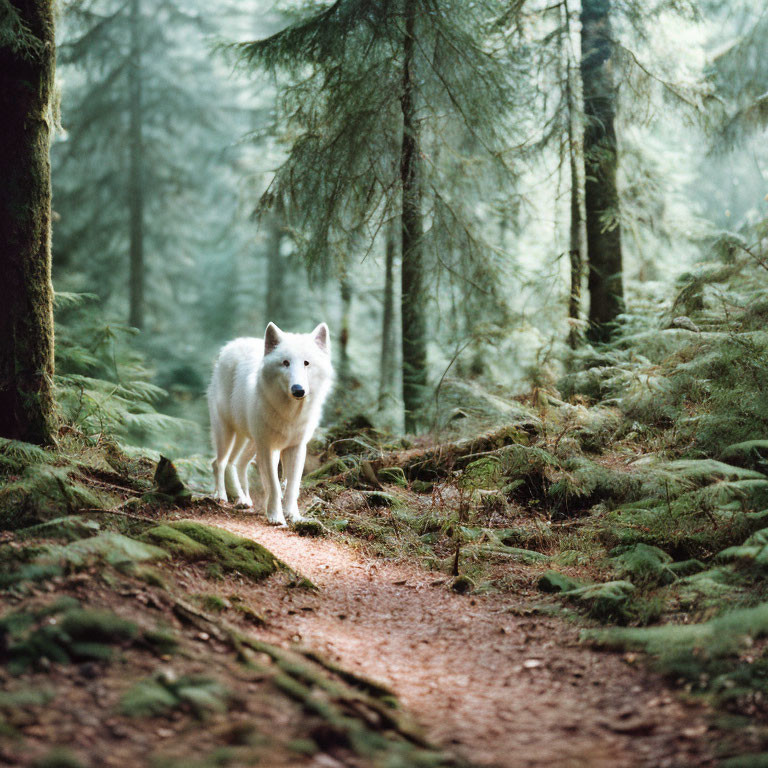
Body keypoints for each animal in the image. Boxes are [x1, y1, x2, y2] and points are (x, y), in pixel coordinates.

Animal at [208, 320, 332, 524]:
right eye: (285, 363)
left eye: (306, 363)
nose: (298, 390)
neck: (289, 414)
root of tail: (232, 344)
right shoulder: (267, 448)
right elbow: (273, 485)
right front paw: (275, 516)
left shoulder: (296, 448)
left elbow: (291, 486)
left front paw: (293, 516)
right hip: (227, 434)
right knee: (218, 463)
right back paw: (221, 496)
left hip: (249, 442)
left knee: (236, 464)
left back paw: (243, 499)